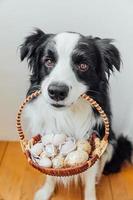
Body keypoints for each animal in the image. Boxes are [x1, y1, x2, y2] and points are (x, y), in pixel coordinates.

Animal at [20, 28, 132, 200]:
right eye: (48, 61)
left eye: (83, 65)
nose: (57, 91)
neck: (67, 114)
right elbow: (50, 176)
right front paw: (45, 192)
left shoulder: (95, 139)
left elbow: (90, 179)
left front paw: (91, 195)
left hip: (112, 142)